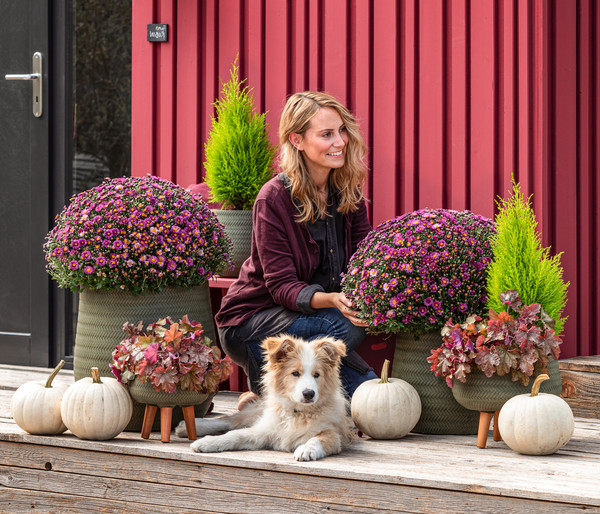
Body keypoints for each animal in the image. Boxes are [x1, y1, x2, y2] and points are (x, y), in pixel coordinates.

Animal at [178, 332, 356, 460]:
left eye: (317, 375)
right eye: (295, 373)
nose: (309, 394)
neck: (297, 412)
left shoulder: (333, 434)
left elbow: (317, 439)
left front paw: (306, 449)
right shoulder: (265, 430)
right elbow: (235, 434)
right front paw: (208, 442)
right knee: (230, 420)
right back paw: (189, 426)